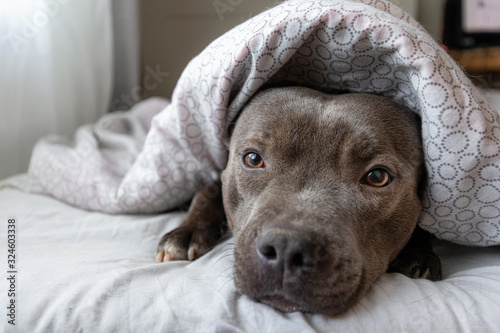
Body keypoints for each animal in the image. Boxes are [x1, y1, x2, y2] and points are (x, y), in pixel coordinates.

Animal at [153, 85, 442, 314]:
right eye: (253, 159)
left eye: (378, 176)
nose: (287, 248)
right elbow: (207, 189)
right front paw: (187, 231)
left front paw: (420, 253)